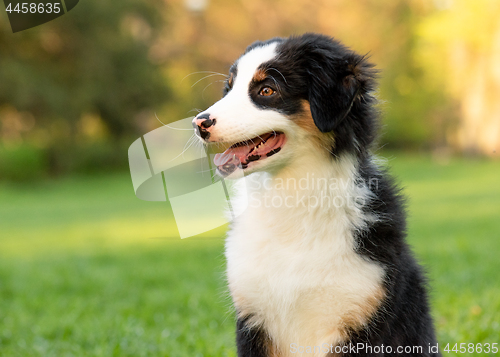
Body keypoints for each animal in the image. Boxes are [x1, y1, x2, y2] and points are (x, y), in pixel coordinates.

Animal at [193, 33, 440, 356]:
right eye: (229, 88)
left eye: (267, 89)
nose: (199, 124)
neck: (291, 195)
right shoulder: (253, 318)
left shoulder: (362, 317)